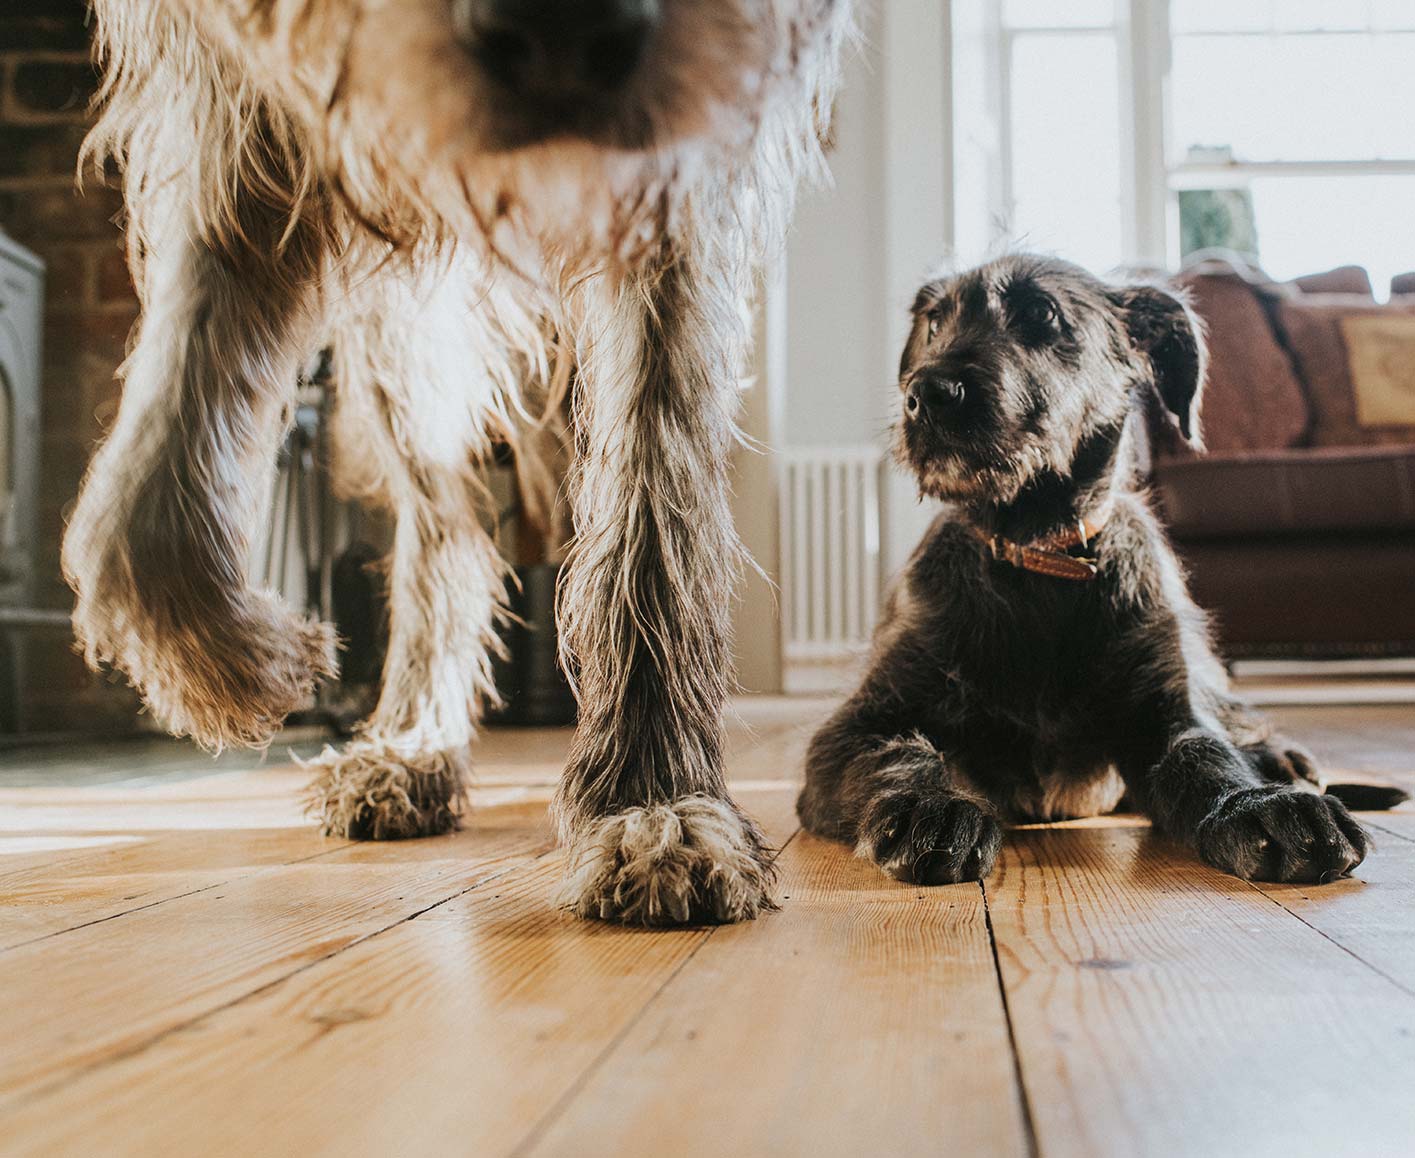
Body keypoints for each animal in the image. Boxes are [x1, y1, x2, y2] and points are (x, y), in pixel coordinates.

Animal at [63, 0, 849, 923]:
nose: (562, 40)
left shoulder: (682, 159)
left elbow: (651, 502)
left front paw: (656, 800)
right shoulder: (240, 101)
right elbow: (158, 439)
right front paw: (233, 660)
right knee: (443, 515)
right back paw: (410, 744)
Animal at [798, 251, 1403, 883]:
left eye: (1041, 312)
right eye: (935, 321)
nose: (926, 392)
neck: (1039, 556)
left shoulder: (1163, 713)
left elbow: (1205, 751)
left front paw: (1256, 804)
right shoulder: (855, 727)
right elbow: (897, 755)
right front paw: (929, 803)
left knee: (1238, 723)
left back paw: (1285, 763)